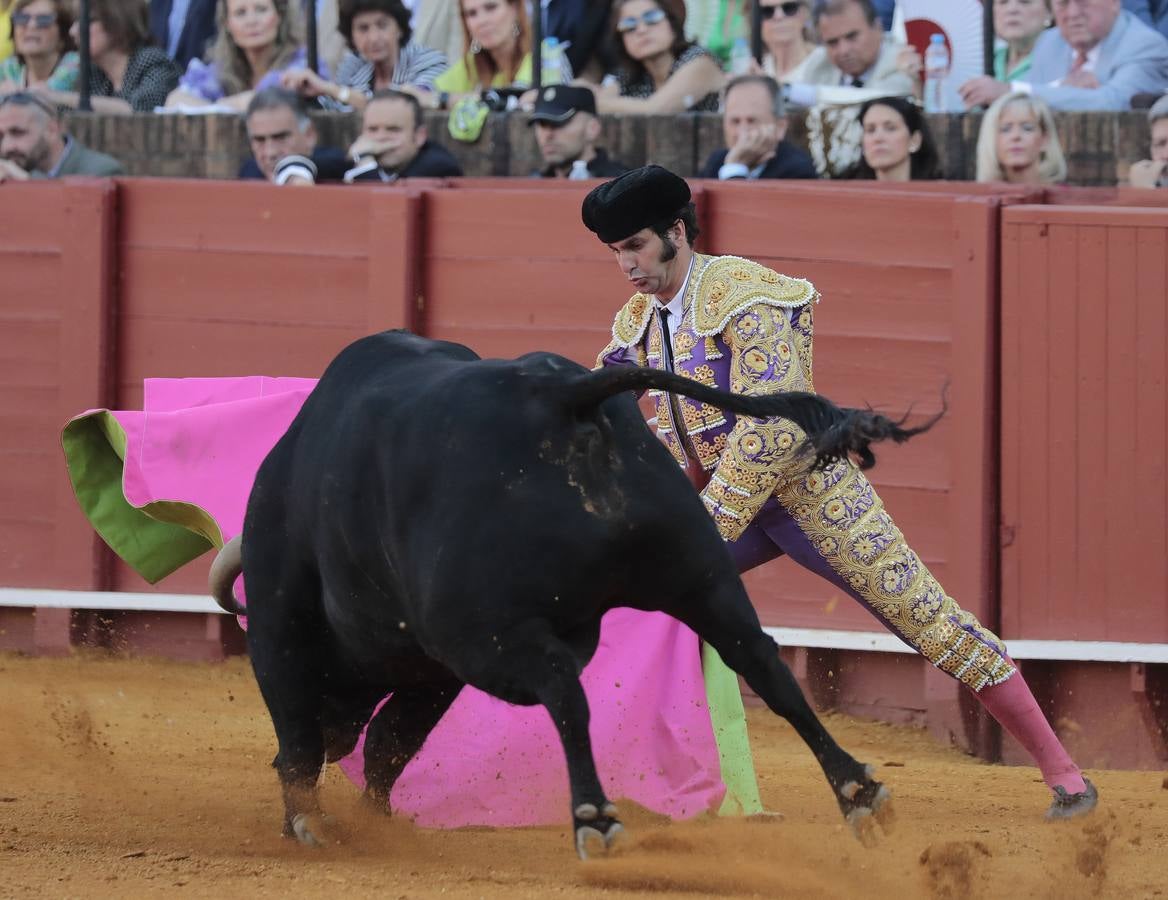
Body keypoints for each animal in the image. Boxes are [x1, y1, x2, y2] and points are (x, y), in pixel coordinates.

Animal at [212, 331, 920, 859]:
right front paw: (371, 820)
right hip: (702, 580)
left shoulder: (286, 624)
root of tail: (565, 395)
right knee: (764, 663)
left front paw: (309, 821)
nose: (339, 741)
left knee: (561, 688)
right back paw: (859, 793)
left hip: (489, 637)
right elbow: (392, 739)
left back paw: (595, 819)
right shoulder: (434, 669)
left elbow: (304, 729)